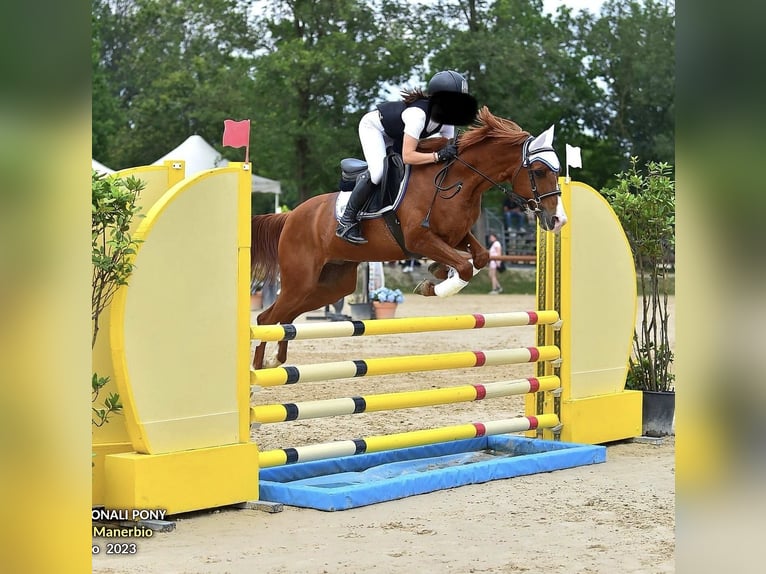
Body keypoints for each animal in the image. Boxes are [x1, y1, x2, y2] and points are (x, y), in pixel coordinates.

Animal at [250, 107, 564, 368]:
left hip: (330, 285)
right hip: (301, 280)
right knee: (267, 317)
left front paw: (437, 272)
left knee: (286, 318)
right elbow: (464, 266)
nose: (557, 219)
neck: (458, 181)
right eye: (539, 171)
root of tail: (291, 216)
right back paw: (258, 366)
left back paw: (275, 360)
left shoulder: (455, 235)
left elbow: (481, 257)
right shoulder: (419, 240)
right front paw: (433, 285)